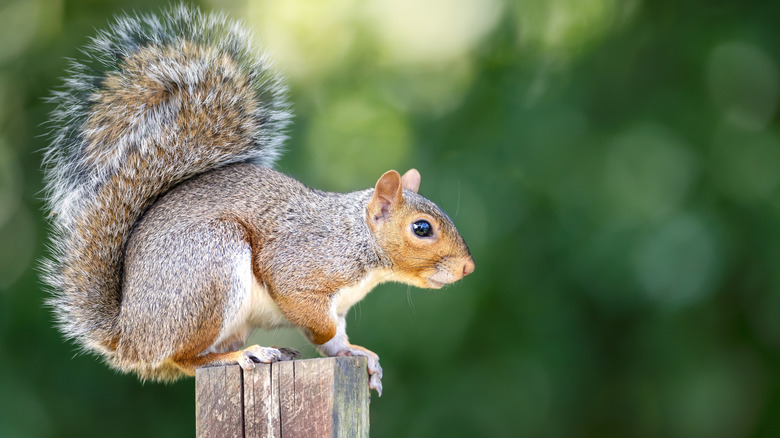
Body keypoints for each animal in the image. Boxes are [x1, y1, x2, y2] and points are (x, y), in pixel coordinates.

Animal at [41, 5, 474, 396]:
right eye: (422, 228)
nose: (468, 268)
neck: (358, 240)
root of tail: (128, 334)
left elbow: (338, 336)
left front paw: (359, 355)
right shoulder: (301, 268)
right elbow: (317, 322)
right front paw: (336, 345)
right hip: (208, 267)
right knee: (185, 358)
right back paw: (242, 355)